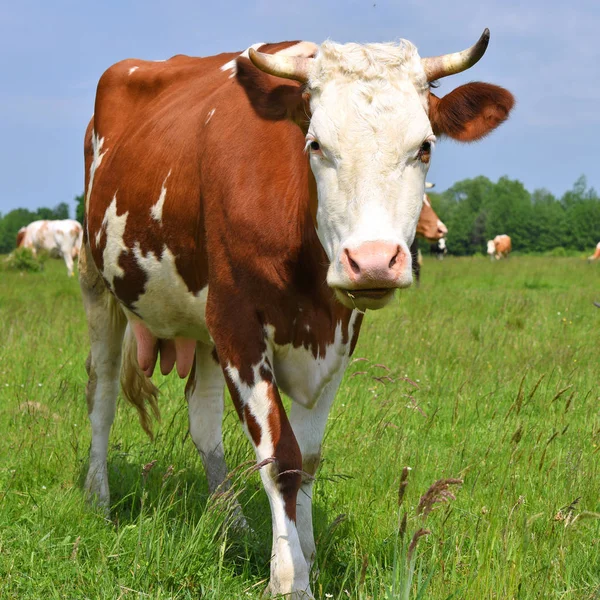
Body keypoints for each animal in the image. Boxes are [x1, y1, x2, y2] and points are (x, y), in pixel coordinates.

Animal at [78, 30, 510, 596]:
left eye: (424, 146)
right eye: (316, 144)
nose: (373, 261)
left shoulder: (338, 334)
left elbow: (309, 456)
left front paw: (307, 551)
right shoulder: (238, 321)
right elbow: (280, 458)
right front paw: (289, 577)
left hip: (204, 323)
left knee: (202, 417)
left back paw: (231, 522)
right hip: (99, 283)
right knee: (102, 394)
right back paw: (98, 500)